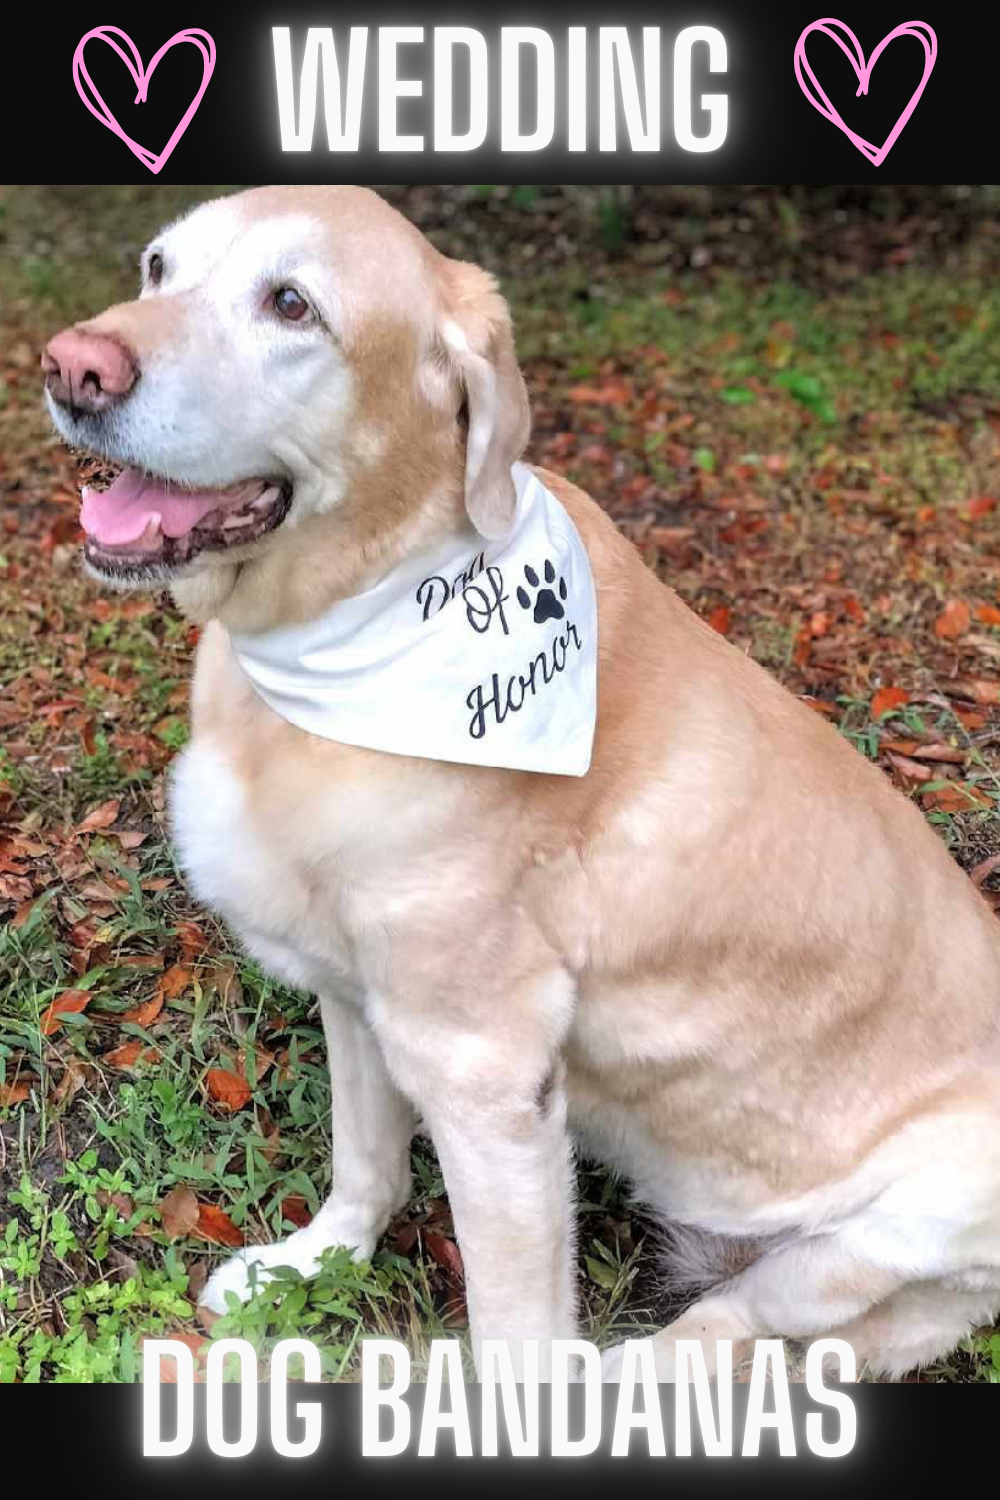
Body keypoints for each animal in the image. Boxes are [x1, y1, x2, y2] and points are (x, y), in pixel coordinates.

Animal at [43, 187, 1000, 1380]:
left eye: (291, 304)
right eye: (157, 266)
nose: (72, 367)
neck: (344, 621)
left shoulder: (484, 1076)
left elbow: (512, 1333)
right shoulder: (357, 996)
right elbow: (365, 1165)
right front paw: (310, 1266)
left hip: (902, 1223)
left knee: (727, 1326)